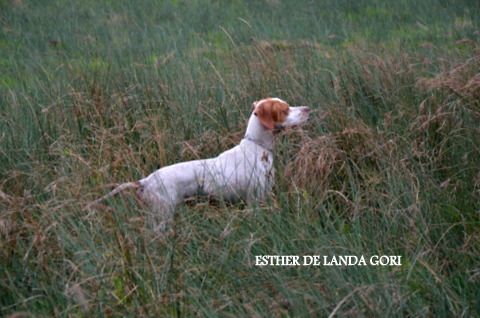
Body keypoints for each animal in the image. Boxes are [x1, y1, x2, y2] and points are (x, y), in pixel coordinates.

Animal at [87, 98, 312, 230]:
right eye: (285, 109)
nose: (307, 109)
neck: (256, 147)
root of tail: (146, 180)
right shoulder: (255, 199)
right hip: (162, 216)